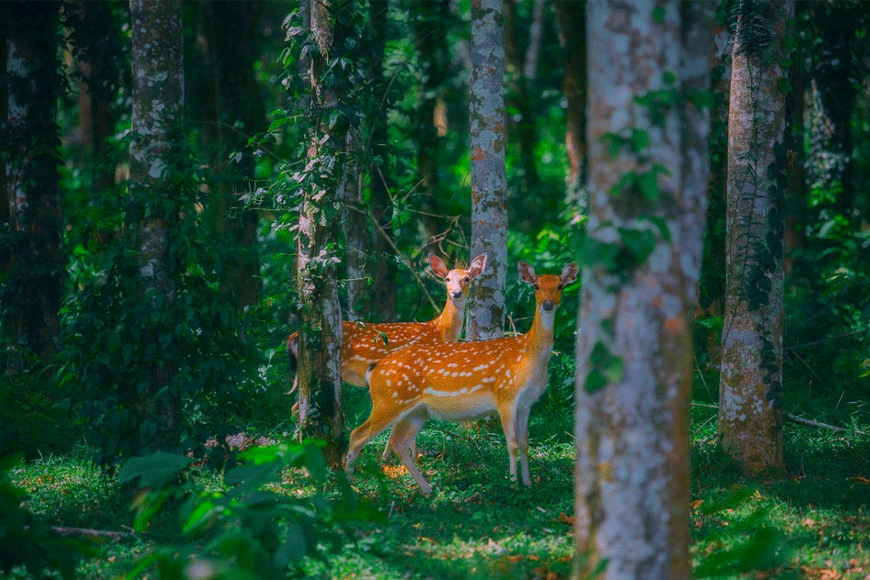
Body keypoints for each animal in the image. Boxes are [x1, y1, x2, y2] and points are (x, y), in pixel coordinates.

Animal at [346, 260, 580, 492]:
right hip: (388, 401)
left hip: (415, 411)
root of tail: (374, 368)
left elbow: (524, 443)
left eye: (560, 286)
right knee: (357, 435)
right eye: (536, 286)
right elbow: (512, 443)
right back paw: (348, 485)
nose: (548, 304)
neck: (528, 358)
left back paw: (427, 489)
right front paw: (513, 484)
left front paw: (529, 483)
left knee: (398, 443)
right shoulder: (505, 394)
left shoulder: (526, 403)